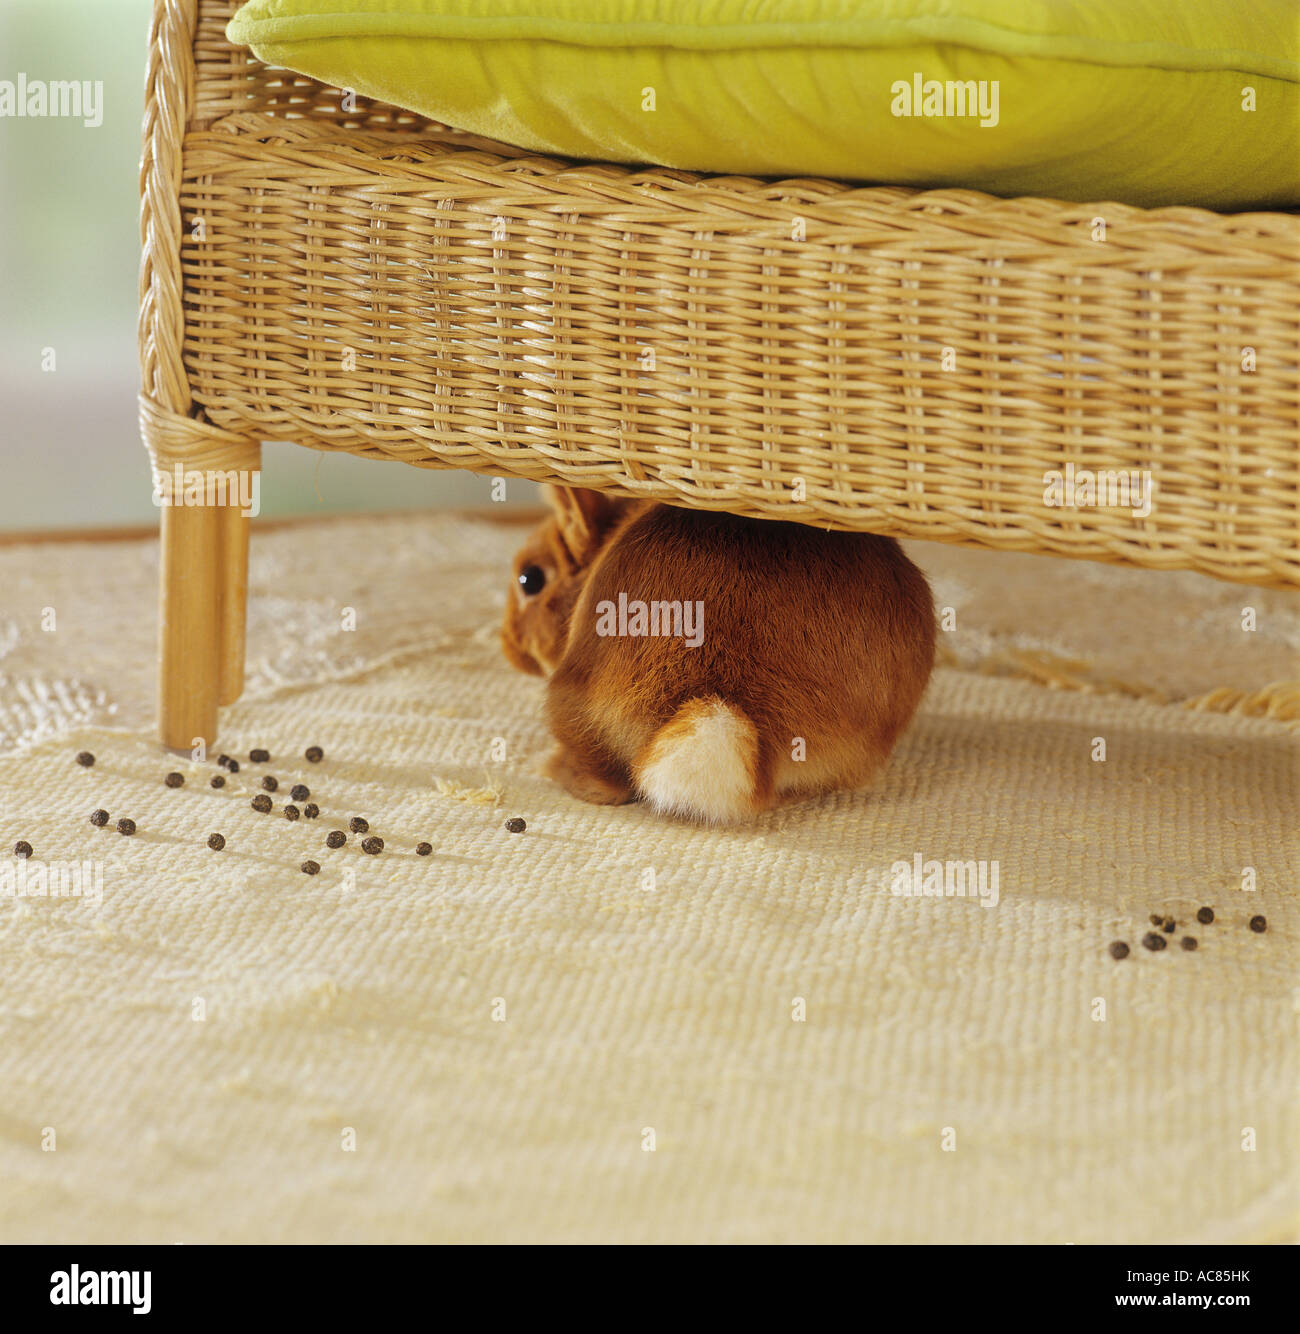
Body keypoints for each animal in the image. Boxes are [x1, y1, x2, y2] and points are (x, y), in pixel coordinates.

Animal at [502, 485, 936, 823]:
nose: (508, 646)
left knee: (607, 784)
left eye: (530, 579)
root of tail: (727, 697)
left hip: (573, 703)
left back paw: (552, 767)